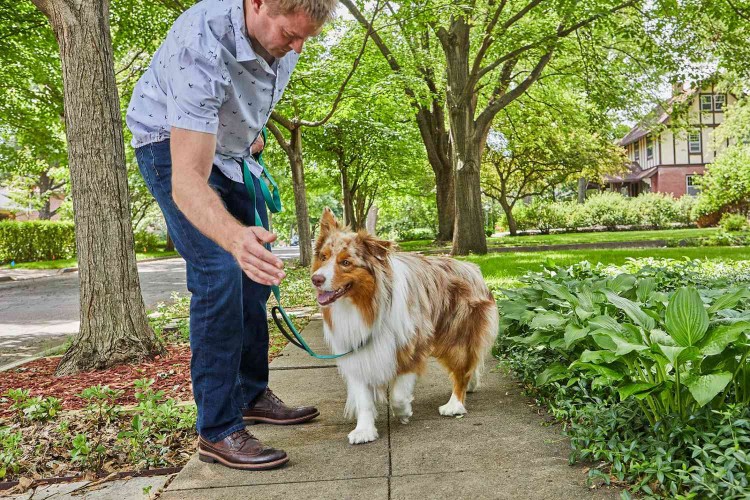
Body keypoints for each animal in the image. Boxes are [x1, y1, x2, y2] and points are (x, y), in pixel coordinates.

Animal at [312, 209, 500, 444]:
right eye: (323, 257)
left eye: (345, 262)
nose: (316, 279)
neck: (366, 304)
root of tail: (473, 268)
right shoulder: (356, 351)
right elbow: (363, 398)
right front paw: (364, 430)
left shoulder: (412, 344)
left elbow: (398, 394)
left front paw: (403, 412)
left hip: (457, 334)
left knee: (461, 370)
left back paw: (454, 404)